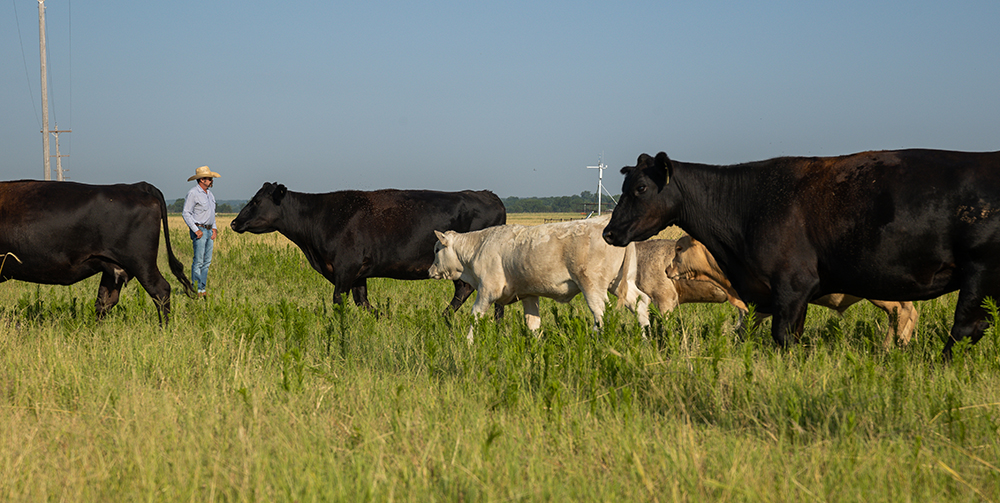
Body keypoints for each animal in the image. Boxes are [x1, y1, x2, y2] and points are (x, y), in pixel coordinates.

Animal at [0, 179, 197, 324]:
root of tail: (136, 186)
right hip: (113, 267)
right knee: (105, 301)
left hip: (141, 263)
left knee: (160, 290)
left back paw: (164, 330)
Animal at [229, 183, 504, 314]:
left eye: (256, 201)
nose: (234, 222)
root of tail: (489, 194)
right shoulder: (359, 273)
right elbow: (364, 303)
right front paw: (386, 319)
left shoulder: (345, 268)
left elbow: (338, 300)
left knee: (465, 290)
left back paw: (442, 317)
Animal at [428, 215, 648, 344]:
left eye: (437, 250)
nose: (430, 271)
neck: (479, 246)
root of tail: (604, 222)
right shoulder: (529, 295)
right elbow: (533, 323)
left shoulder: (487, 290)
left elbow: (475, 315)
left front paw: (469, 342)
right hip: (619, 283)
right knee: (640, 303)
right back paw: (645, 338)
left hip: (592, 286)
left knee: (601, 313)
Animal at [600, 148, 1000, 356]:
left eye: (640, 187)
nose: (608, 232)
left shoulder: (791, 285)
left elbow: (783, 336)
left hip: (980, 271)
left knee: (963, 327)